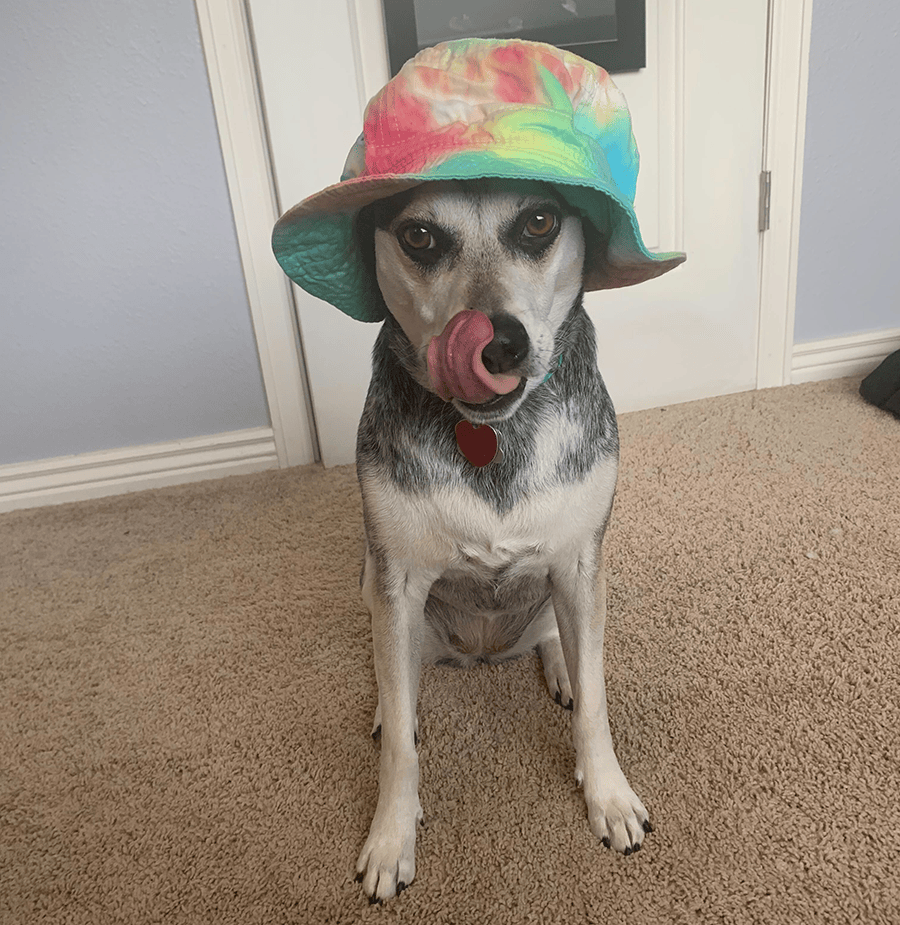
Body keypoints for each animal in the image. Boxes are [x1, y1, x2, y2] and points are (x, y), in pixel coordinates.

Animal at [348, 177, 652, 900]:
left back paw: (561, 666)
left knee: (557, 642)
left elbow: (596, 705)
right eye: (419, 235)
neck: (493, 432)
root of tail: (483, 655)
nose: (497, 344)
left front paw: (608, 795)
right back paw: (391, 703)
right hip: (373, 583)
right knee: (396, 679)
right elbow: (401, 747)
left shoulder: (580, 563)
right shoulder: (396, 579)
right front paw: (391, 835)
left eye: (539, 220)